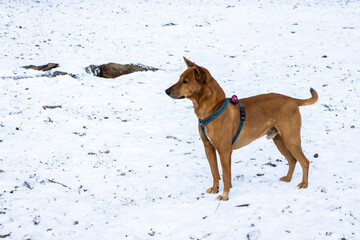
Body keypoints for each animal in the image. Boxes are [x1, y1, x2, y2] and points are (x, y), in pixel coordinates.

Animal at [165, 57, 316, 200]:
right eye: (179, 79)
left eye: (185, 81)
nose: (166, 91)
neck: (214, 108)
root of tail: (292, 100)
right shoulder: (208, 147)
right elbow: (215, 172)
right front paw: (215, 189)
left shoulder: (224, 151)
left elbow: (225, 176)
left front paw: (225, 196)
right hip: (279, 140)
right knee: (292, 160)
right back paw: (288, 178)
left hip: (291, 140)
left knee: (305, 161)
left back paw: (304, 184)